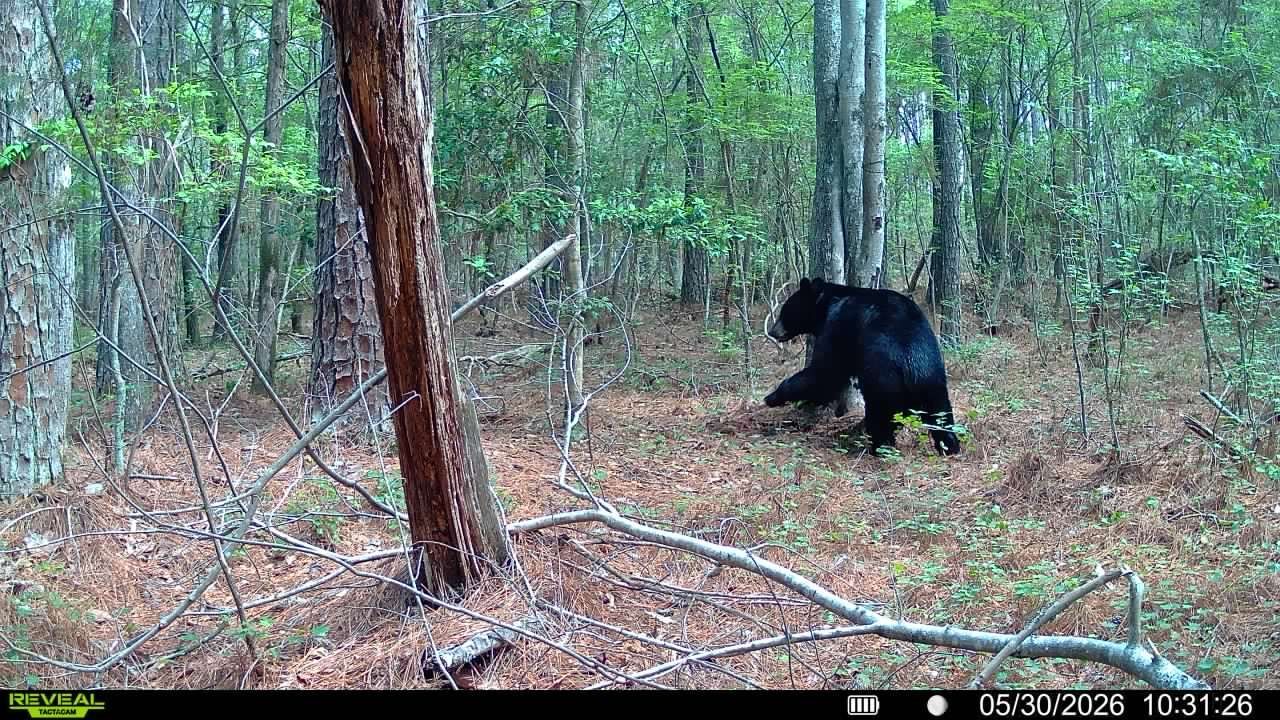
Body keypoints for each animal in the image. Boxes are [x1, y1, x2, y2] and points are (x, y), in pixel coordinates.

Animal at [763, 277, 962, 456]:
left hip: (883, 378)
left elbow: (825, 373)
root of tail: (912, 365)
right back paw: (950, 446)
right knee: (940, 414)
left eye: (785, 311)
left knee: (880, 414)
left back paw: (879, 446)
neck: (826, 306)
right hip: (933, 378)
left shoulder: (837, 327)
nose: (772, 331)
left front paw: (772, 396)